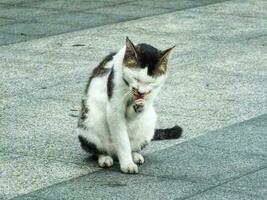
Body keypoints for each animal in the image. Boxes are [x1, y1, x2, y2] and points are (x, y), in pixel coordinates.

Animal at [76, 37, 183, 173]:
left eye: (151, 82)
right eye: (136, 78)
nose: (141, 92)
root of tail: (114, 153)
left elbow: (134, 112)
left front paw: (140, 106)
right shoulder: (114, 105)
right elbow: (122, 141)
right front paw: (127, 164)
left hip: (149, 123)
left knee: (135, 146)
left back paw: (135, 155)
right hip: (88, 122)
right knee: (96, 149)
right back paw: (104, 157)